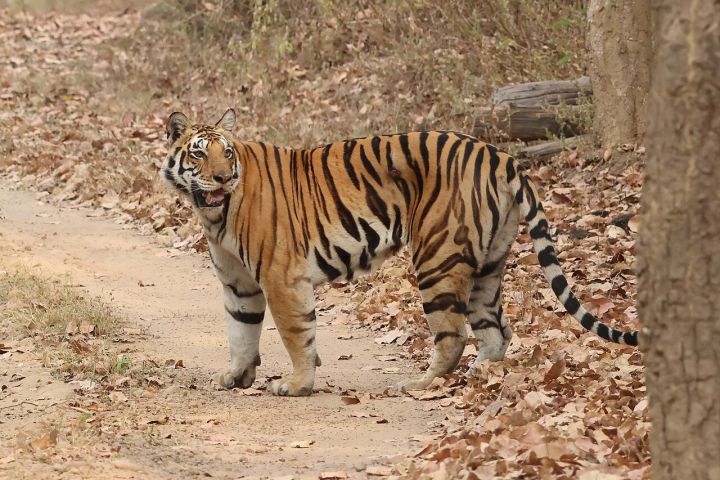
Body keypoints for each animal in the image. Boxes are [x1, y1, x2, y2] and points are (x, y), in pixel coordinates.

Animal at [161, 108, 639, 397]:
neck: (215, 214)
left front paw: (296, 384)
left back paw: (422, 384)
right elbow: (240, 331)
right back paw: (481, 375)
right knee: (497, 330)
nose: (223, 178)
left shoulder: (282, 277)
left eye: (227, 154)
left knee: (454, 334)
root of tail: (498, 154)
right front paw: (236, 377)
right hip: (489, 264)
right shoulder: (239, 283)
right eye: (199, 155)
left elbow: (296, 335)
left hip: (436, 257)